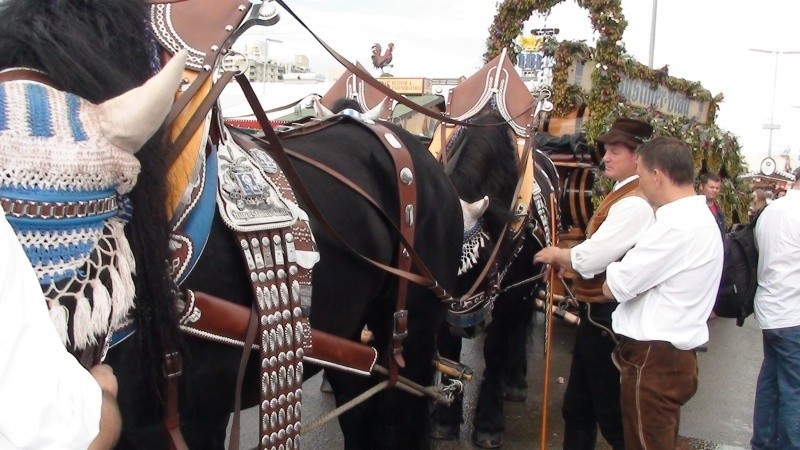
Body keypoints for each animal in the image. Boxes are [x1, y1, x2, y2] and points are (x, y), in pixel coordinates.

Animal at [432, 110, 556, 446]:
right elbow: (447, 348)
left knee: (519, 326)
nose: (467, 327)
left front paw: (489, 421)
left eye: (486, 259)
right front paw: (445, 418)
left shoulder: (511, 290)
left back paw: (514, 379)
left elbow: (497, 348)